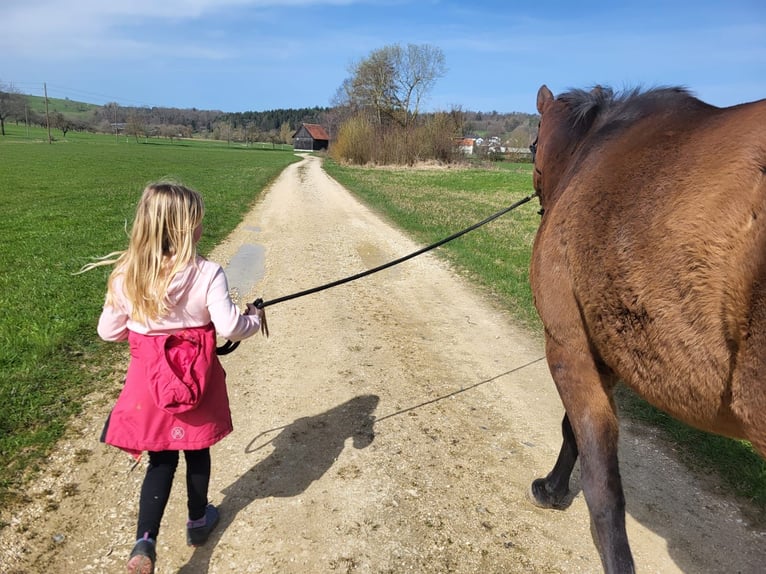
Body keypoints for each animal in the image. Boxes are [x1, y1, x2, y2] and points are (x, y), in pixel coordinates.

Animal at [532, 83, 764, 572]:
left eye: (532, 143)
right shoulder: (605, 353)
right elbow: (575, 433)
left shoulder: (568, 347)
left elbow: (598, 474)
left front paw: (553, 491)